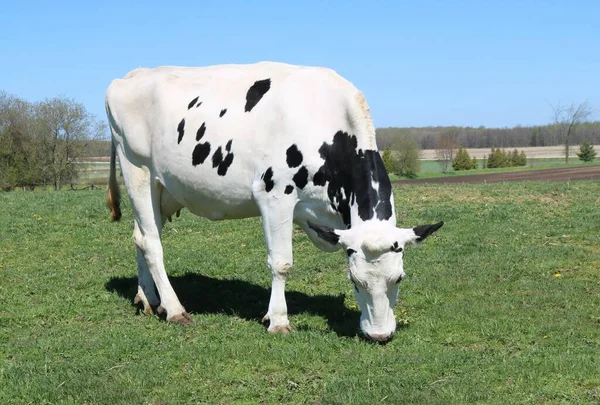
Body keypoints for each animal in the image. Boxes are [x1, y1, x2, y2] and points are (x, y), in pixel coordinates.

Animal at [104, 60, 440, 340]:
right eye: (354, 280)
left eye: (399, 279)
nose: (379, 335)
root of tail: (132, 75)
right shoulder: (275, 194)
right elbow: (281, 263)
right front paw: (278, 320)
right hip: (138, 170)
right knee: (152, 243)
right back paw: (174, 309)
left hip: (164, 189)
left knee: (141, 236)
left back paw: (148, 298)